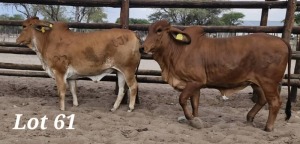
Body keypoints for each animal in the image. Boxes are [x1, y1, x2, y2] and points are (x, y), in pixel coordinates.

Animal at [143, 20, 290, 132]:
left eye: (159, 30)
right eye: (149, 29)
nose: (142, 48)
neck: (179, 49)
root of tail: (281, 40)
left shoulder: (195, 82)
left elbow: (182, 99)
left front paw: (191, 119)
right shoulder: (195, 84)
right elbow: (195, 104)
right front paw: (196, 119)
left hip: (268, 82)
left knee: (275, 102)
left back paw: (268, 127)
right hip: (256, 83)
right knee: (262, 99)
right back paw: (249, 117)